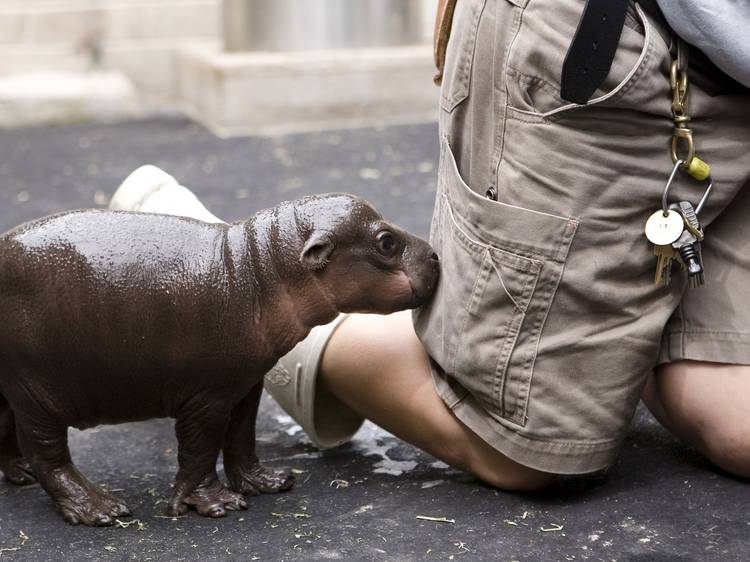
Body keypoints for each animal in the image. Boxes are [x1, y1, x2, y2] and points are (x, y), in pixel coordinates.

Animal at [0, 194, 440, 524]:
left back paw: (20, 473)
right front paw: (218, 504)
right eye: (386, 241)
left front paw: (269, 482)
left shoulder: (246, 384)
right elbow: (201, 448)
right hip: (39, 393)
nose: (436, 254)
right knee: (48, 455)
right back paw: (101, 509)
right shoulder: (206, 396)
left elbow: (241, 436)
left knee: (8, 425)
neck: (259, 271)